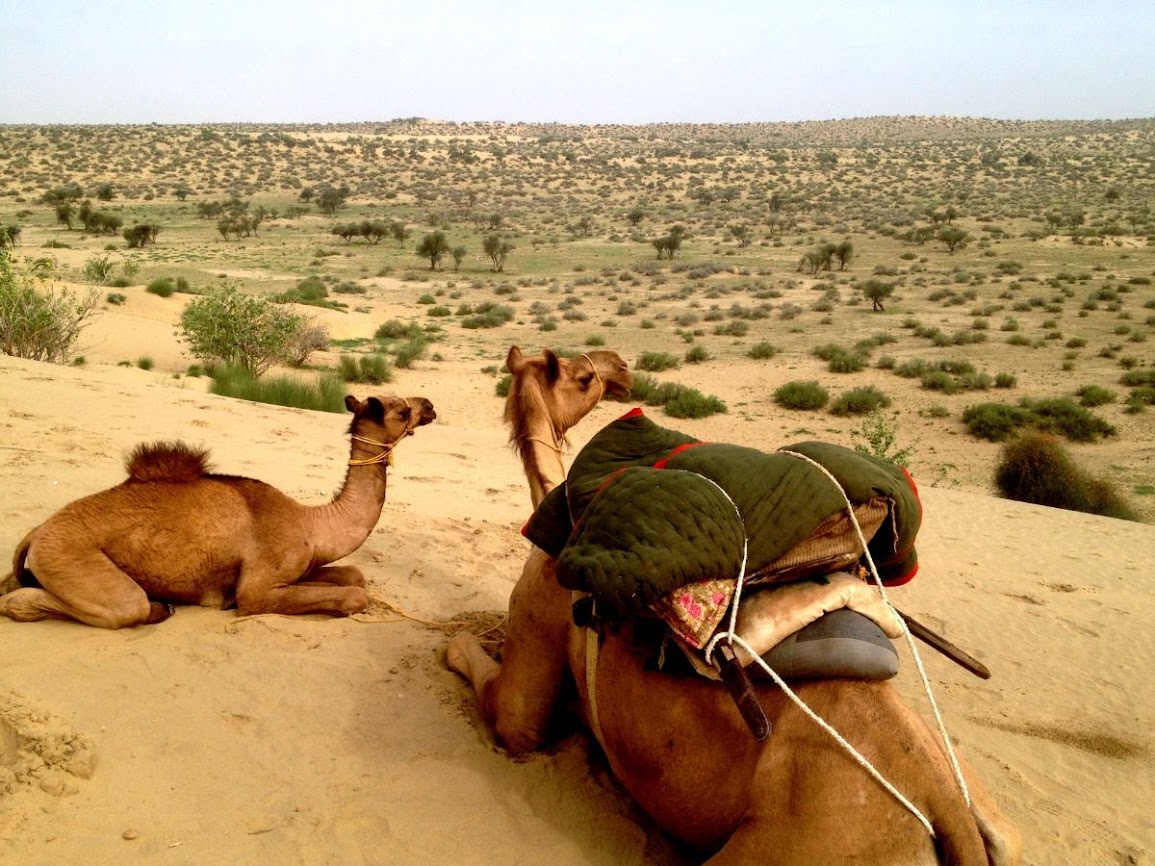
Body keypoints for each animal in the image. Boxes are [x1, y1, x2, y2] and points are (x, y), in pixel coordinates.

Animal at [1, 394, 434, 632]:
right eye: (399, 409)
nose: (429, 405)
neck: (311, 524)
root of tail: (37, 532)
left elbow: (354, 575)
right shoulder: (258, 589)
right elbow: (352, 595)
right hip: (68, 555)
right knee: (117, 606)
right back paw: (158, 607)